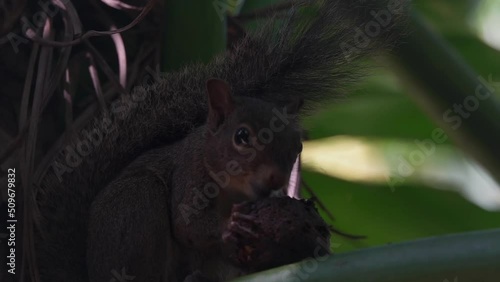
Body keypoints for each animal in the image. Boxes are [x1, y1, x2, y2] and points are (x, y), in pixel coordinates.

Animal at [29, 0, 408, 280]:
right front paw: (229, 229)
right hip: (135, 209)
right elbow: (187, 224)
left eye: (298, 146)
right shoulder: (189, 174)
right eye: (242, 137)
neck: (233, 192)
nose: (275, 178)